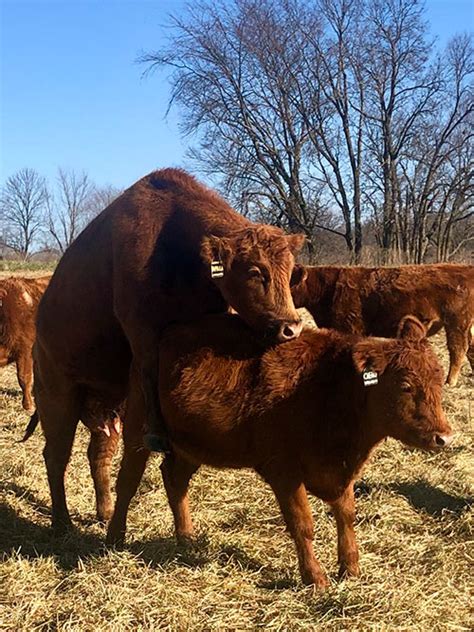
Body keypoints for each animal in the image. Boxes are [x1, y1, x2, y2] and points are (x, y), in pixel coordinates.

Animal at [35, 167, 306, 528]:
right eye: (254, 271)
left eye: (290, 273)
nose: (290, 328)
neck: (175, 246)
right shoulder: (142, 332)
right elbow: (150, 377)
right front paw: (157, 432)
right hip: (58, 397)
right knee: (56, 455)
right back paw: (62, 522)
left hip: (105, 409)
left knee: (98, 453)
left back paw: (104, 512)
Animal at [105, 314, 454, 588]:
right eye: (405, 386)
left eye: (439, 382)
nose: (444, 437)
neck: (329, 387)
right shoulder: (283, 472)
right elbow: (303, 524)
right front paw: (315, 578)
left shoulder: (339, 471)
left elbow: (347, 516)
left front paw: (351, 568)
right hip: (137, 431)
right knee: (127, 483)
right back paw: (114, 538)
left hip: (191, 446)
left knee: (174, 479)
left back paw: (187, 540)